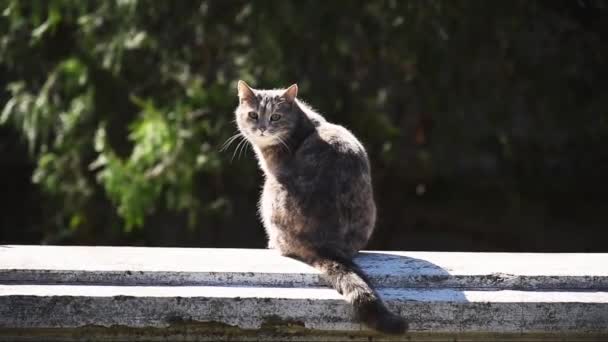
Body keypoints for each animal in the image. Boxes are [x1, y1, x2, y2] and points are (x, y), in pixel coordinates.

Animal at [233, 81, 408, 334]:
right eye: (253, 115)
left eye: (275, 117)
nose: (263, 128)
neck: (301, 124)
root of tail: (325, 245)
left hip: (268, 192)